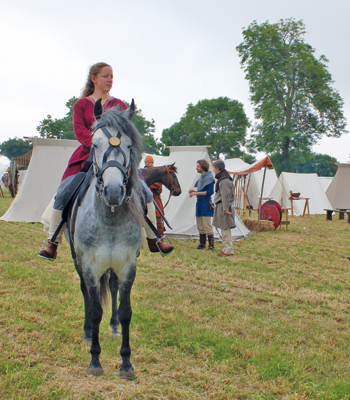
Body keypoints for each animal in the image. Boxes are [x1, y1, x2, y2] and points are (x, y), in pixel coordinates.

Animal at [65, 100, 143, 378]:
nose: (113, 191)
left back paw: (113, 328)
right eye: (95, 144)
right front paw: (95, 360)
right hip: (79, 262)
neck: (110, 218)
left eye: (129, 146)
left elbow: (126, 310)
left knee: (111, 287)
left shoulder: (128, 265)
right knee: (87, 295)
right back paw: (89, 333)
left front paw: (126, 363)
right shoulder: (90, 264)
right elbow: (95, 308)